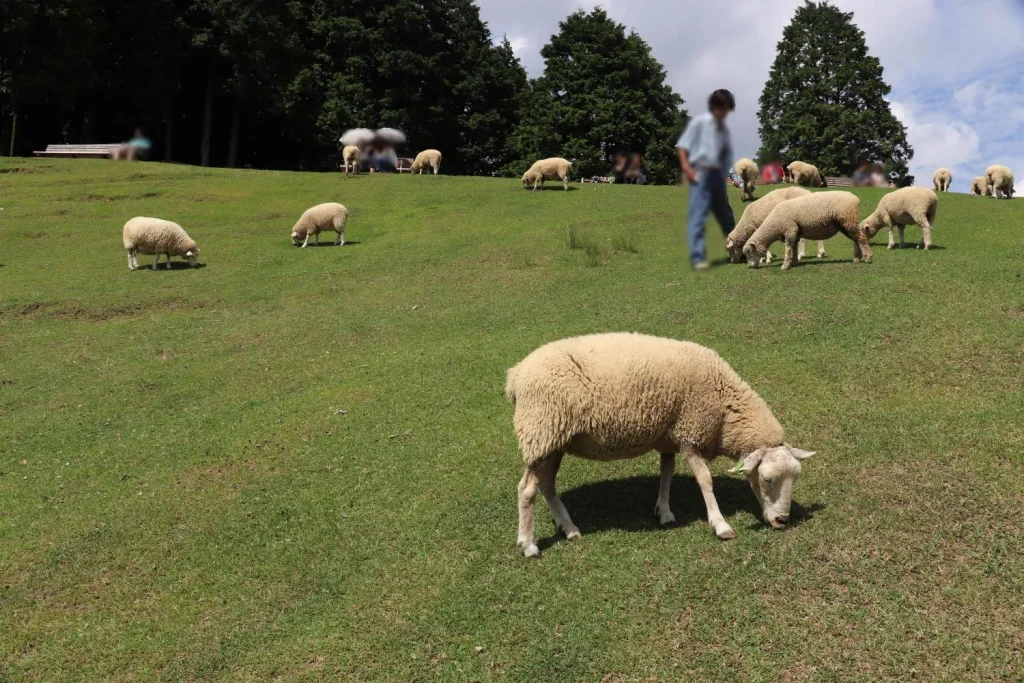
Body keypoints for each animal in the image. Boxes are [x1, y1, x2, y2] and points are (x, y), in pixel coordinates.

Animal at [505, 333, 815, 557]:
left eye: (795, 478)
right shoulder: (691, 434)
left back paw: (569, 528)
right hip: (540, 432)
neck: (726, 410)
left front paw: (664, 512)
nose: (782, 522)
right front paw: (720, 525)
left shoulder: (669, 436)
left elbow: (666, 474)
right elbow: (705, 480)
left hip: (553, 441)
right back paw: (529, 545)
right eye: (767, 478)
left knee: (547, 485)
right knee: (527, 490)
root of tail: (515, 376)